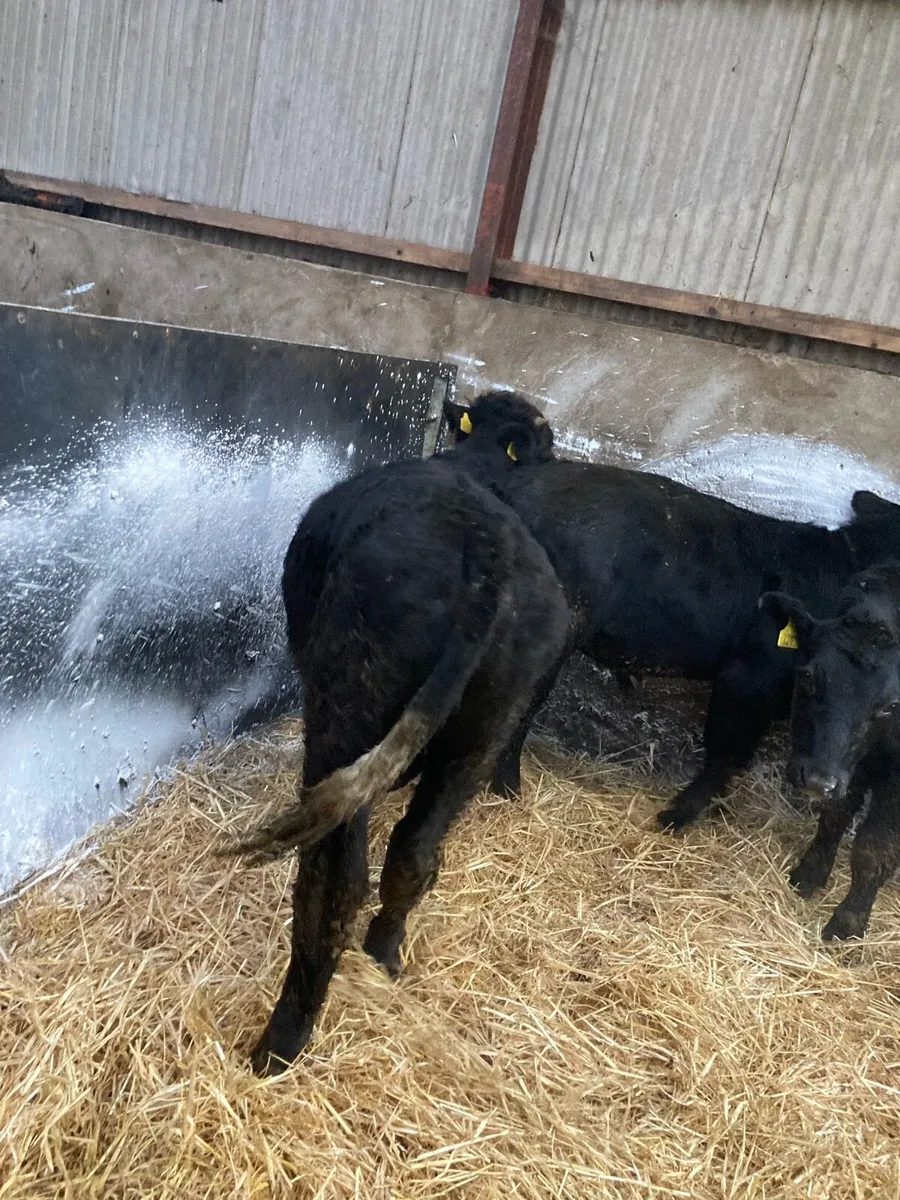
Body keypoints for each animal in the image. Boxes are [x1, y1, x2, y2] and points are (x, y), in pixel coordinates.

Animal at [227, 401, 569, 1075]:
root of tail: (483, 544)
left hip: (348, 705)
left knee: (334, 881)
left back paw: (280, 1042)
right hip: (484, 726)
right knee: (414, 851)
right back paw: (385, 952)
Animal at [761, 564, 900, 940]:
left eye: (891, 705)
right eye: (808, 676)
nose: (816, 781)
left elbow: (874, 847)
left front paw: (848, 922)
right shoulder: (847, 769)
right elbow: (834, 817)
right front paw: (808, 875)